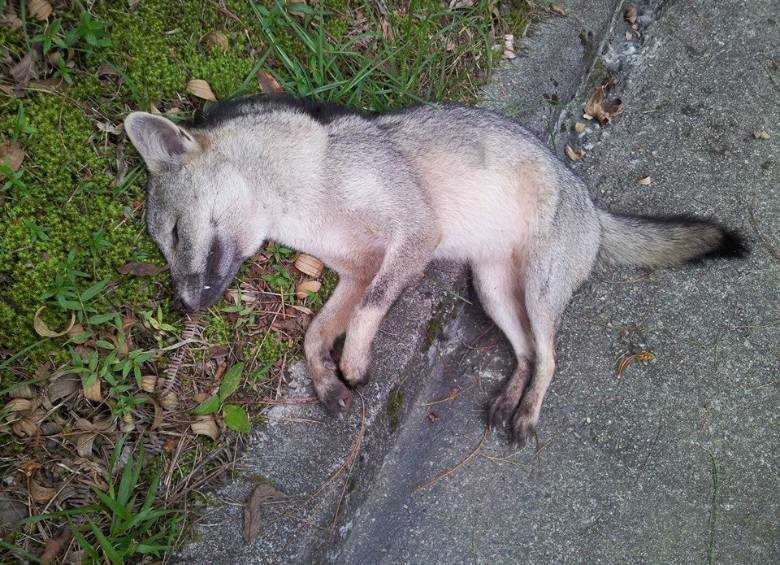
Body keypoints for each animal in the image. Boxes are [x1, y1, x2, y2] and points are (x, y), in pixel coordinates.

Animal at [124, 95, 748, 447]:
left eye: (173, 235)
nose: (185, 303)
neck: (309, 194)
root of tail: (591, 203)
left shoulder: (415, 237)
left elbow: (369, 312)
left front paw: (354, 363)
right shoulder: (356, 272)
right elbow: (313, 333)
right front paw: (325, 380)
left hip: (536, 294)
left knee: (549, 358)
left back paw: (527, 413)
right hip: (495, 293)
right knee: (527, 354)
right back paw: (509, 399)